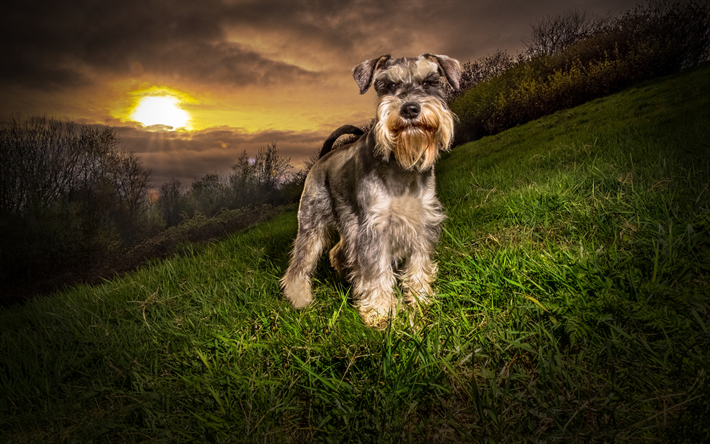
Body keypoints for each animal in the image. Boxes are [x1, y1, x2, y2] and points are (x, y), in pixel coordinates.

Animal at [280, 53, 464, 328]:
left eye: (430, 82)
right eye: (386, 85)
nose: (410, 109)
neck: (402, 167)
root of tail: (322, 158)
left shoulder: (421, 223)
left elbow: (419, 264)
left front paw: (420, 299)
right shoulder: (373, 229)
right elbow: (376, 271)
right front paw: (380, 312)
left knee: (339, 252)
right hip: (312, 224)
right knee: (301, 262)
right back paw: (299, 297)